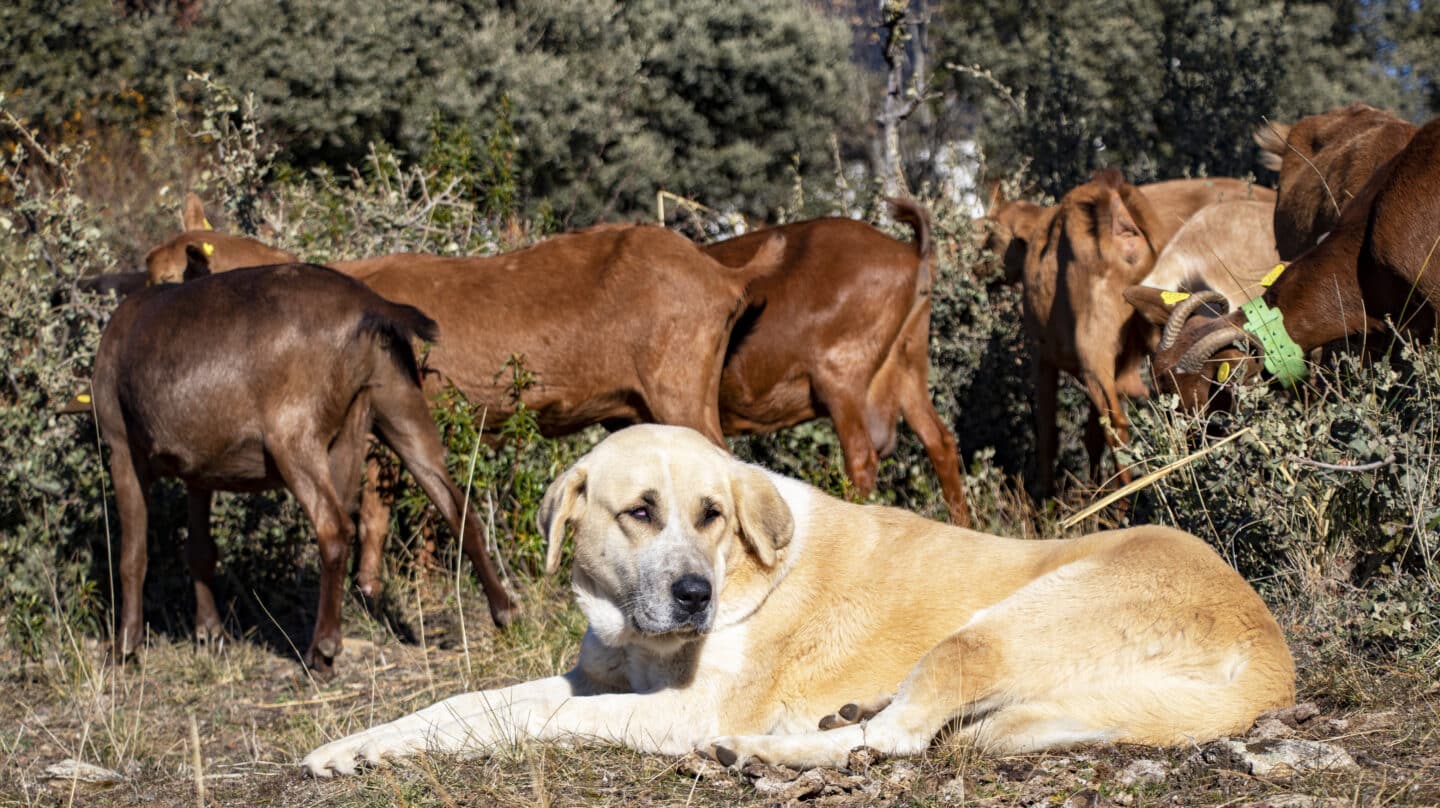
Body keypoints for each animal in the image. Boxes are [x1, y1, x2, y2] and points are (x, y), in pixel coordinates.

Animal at [95, 262, 515, 671]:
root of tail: (372, 307)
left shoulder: (121, 446)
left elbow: (132, 555)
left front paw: (124, 647)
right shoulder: (200, 468)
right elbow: (200, 549)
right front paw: (210, 634)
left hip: (295, 433)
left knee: (334, 527)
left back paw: (322, 652)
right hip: (398, 402)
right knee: (457, 507)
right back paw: (506, 613)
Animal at [300, 423, 1296, 777]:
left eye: (711, 513)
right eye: (639, 512)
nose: (694, 594)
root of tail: (1273, 653)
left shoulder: (677, 709)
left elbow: (544, 721)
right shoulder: (598, 677)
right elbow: (464, 704)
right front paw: (358, 747)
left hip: (1000, 625)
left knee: (899, 740)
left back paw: (765, 752)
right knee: (900, 725)